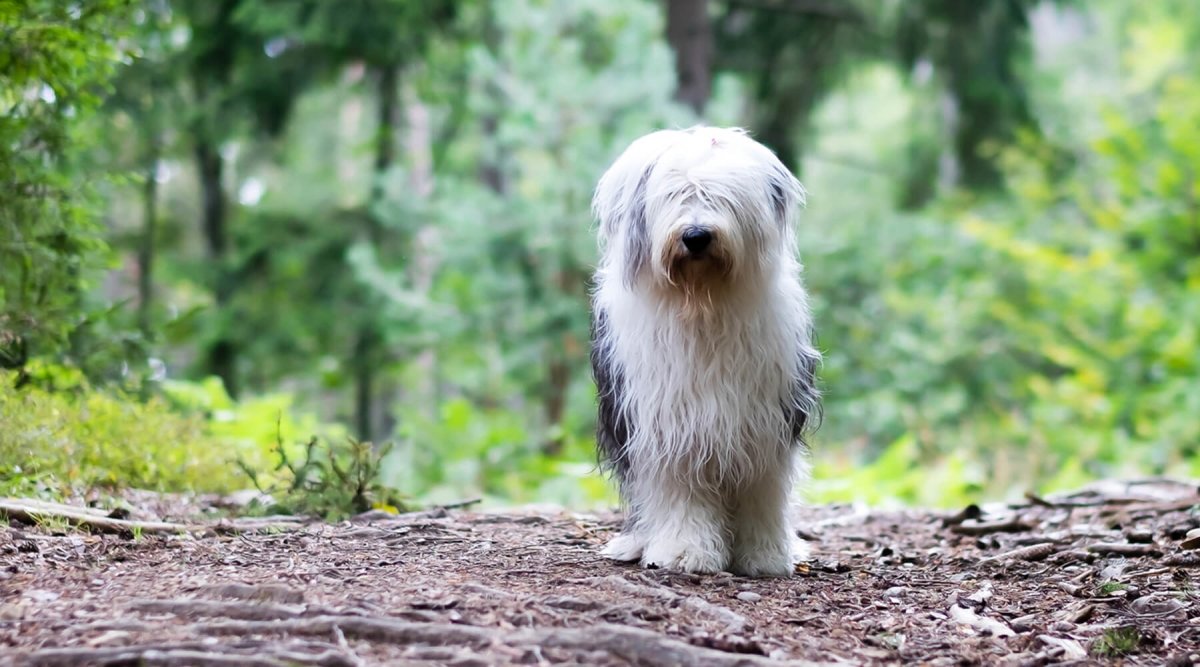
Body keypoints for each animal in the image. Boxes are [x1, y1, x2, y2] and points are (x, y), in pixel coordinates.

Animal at [588, 126, 820, 578]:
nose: (695, 236)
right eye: (674, 194)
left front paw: (764, 556)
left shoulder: (765, 422)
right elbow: (681, 489)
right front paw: (684, 552)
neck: (702, 301)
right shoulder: (668, 424)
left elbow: (762, 492)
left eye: (723, 197)